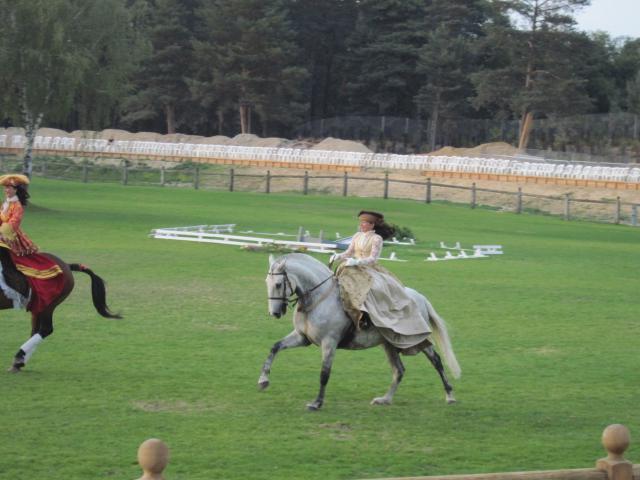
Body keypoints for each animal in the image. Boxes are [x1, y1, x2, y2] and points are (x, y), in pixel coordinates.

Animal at [260, 253, 460, 410]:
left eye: (278, 284)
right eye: (267, 282)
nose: (275, 313)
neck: (318, 299)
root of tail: (420, 297)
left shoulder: (329, 343)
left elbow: (324, 373)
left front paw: (316, 403)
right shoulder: (302, 338)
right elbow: (275, 347)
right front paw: (263, 380)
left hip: (415, 340)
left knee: (436, 361)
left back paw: (450, 396)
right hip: (390, 344)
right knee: (399, 370)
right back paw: (385, 399)